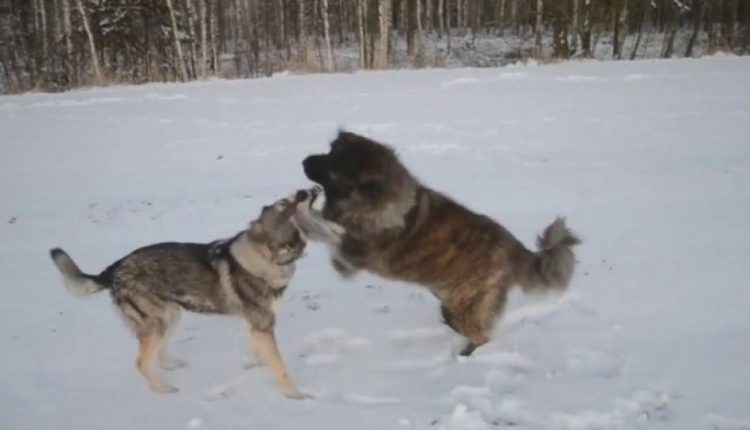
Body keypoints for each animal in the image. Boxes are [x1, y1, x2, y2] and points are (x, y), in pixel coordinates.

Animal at [50, 188, 320, 400]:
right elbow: (280, 367)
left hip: (170, 316)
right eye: (283, 203)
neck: (266, 258)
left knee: (156, 353)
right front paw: (295, 395)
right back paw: (163, 389)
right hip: (158, 321)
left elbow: (256, 351)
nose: (308, 190)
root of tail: (114, 268)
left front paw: (253, 365)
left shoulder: (258, 324)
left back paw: (172, 365)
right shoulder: (264, 325)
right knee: (141, 362)